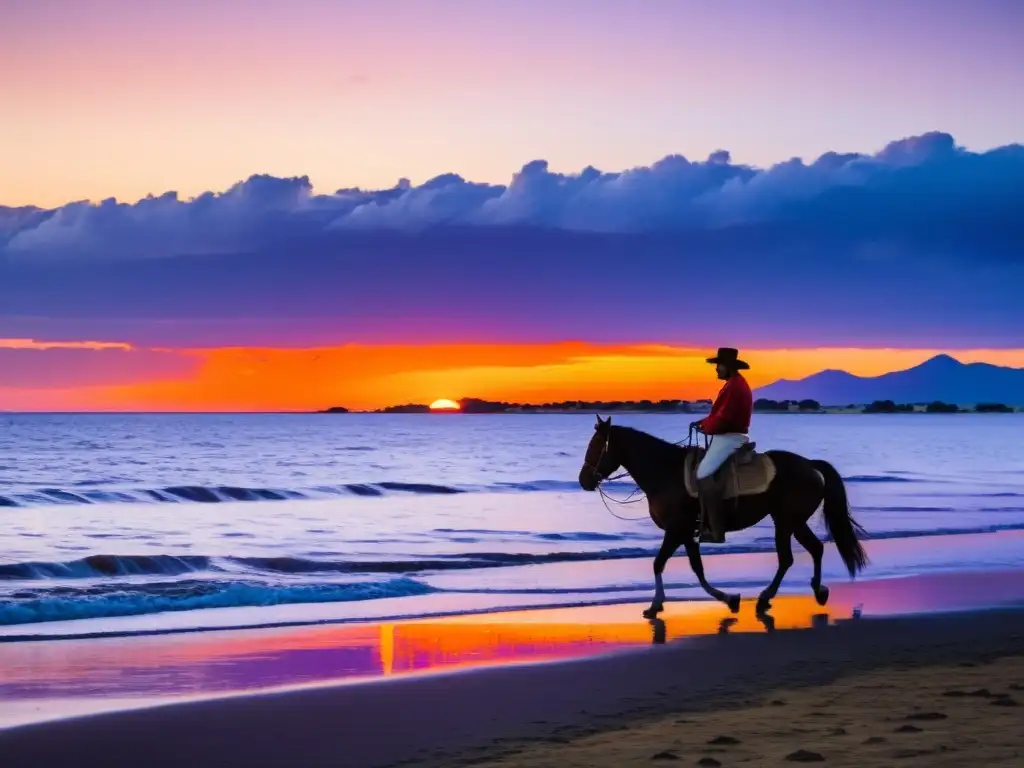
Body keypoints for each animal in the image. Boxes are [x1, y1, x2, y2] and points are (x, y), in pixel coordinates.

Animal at [581, 415, 868, 618]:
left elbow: (658, 563)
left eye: (597, 446)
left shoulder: (675, 530)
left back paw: (767, 598)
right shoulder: (686, 533)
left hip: (787, 522)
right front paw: (728, 599)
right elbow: (696, 568)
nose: (583, 480)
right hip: (791, 522)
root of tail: (810, 465)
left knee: (789, 557)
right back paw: (817, 591)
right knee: (813, 549)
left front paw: (655, 605)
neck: (665, 472)